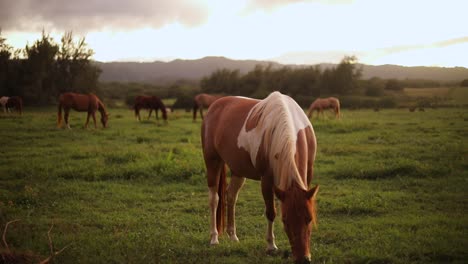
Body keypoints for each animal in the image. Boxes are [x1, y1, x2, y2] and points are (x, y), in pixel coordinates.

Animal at [201, 91, 318, 264]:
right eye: (285, 220)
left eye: (309, 218)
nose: (303, 259)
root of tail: (214, 106)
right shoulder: (267, 180)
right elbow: (270, 212)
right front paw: (271, 246)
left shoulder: (307, 176)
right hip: (213, 162)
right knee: (214, 199)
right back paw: (214, 238)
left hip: (238, 170)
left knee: (231, 196)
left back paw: (233, 236)